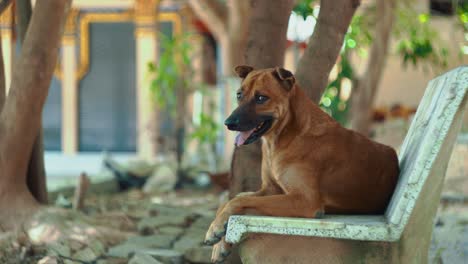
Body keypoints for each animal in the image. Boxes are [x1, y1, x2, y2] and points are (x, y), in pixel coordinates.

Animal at [207, 66, 400, 262]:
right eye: (239, 95)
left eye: (261, 98)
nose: (228, 123)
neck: (285, 136)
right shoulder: (270, 189)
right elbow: (233, 199)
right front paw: (218, 238)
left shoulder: (304, 200)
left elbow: (239, 200)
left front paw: (216, 229)